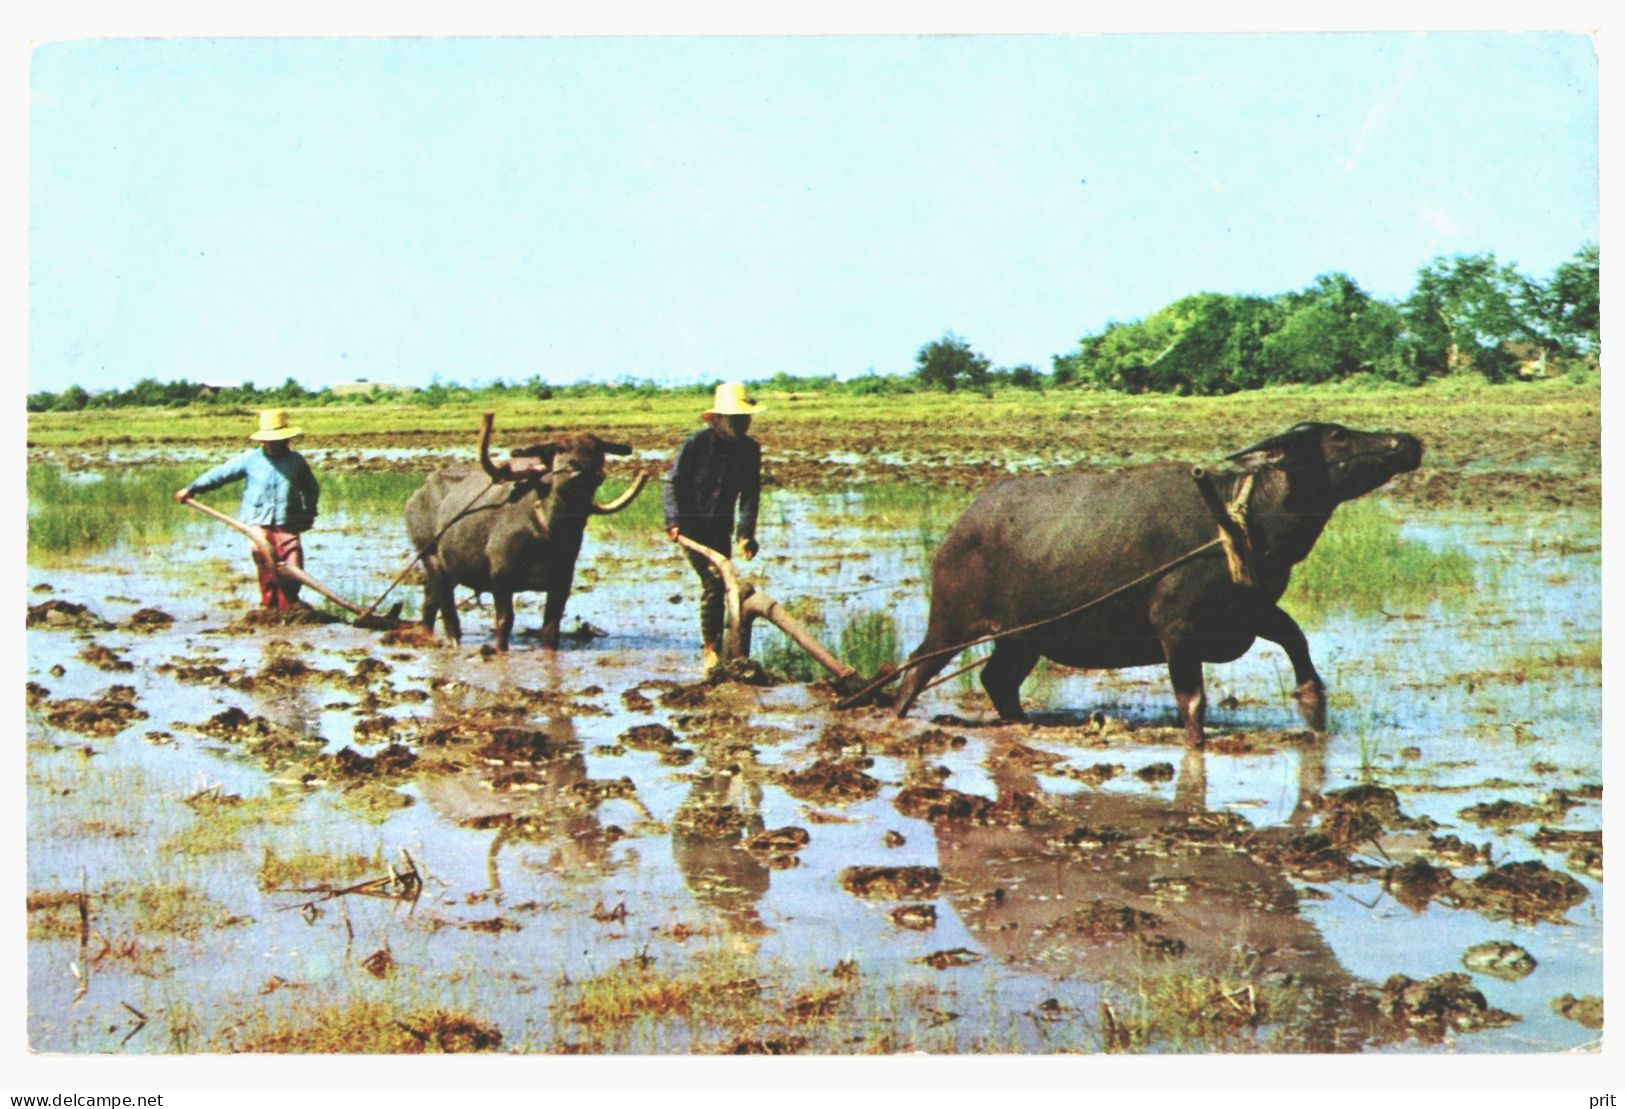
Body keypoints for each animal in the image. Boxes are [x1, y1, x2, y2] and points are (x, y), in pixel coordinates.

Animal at [404, 413, 646, 647]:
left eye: (597, 449)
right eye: (561, 448)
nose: (580, 468)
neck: (548, 531)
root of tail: (417, 494)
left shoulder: (561, 583)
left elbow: (550, 628)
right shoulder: (500, 581)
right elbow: (504, 623)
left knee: (429, 603)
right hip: (432, 560)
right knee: (449, 615)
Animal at [890, 419, 1423, 738]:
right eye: (1337, 436)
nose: (1406, 441)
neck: (1240, 521)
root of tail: (960, 527)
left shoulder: (1250, 611)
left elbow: (1297, 642)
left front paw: (1313, 705)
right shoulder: (1177, 628)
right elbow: (1193, 702)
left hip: (1021, 638)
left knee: (996, 678)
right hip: (952, 623)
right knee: (916, 667)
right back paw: (894, 716)